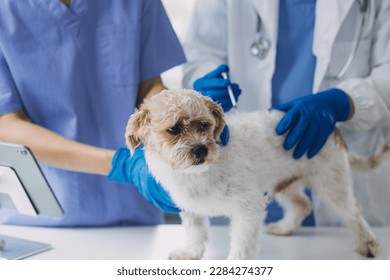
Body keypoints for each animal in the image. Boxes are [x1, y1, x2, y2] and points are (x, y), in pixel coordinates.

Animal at [125, 88, 386, 260]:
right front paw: (190, 253)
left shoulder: (248, 207)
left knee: (353, 212)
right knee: (302, 204)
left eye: (204, 126)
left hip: (331, 182)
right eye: (174, 129)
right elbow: (196, 232)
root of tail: (331, 125)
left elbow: (242, 241)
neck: (199, 174)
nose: (201, 149)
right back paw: (284, 228)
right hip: (284, 184)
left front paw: (236, 264)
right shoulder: (190, 208)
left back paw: (368, 244)